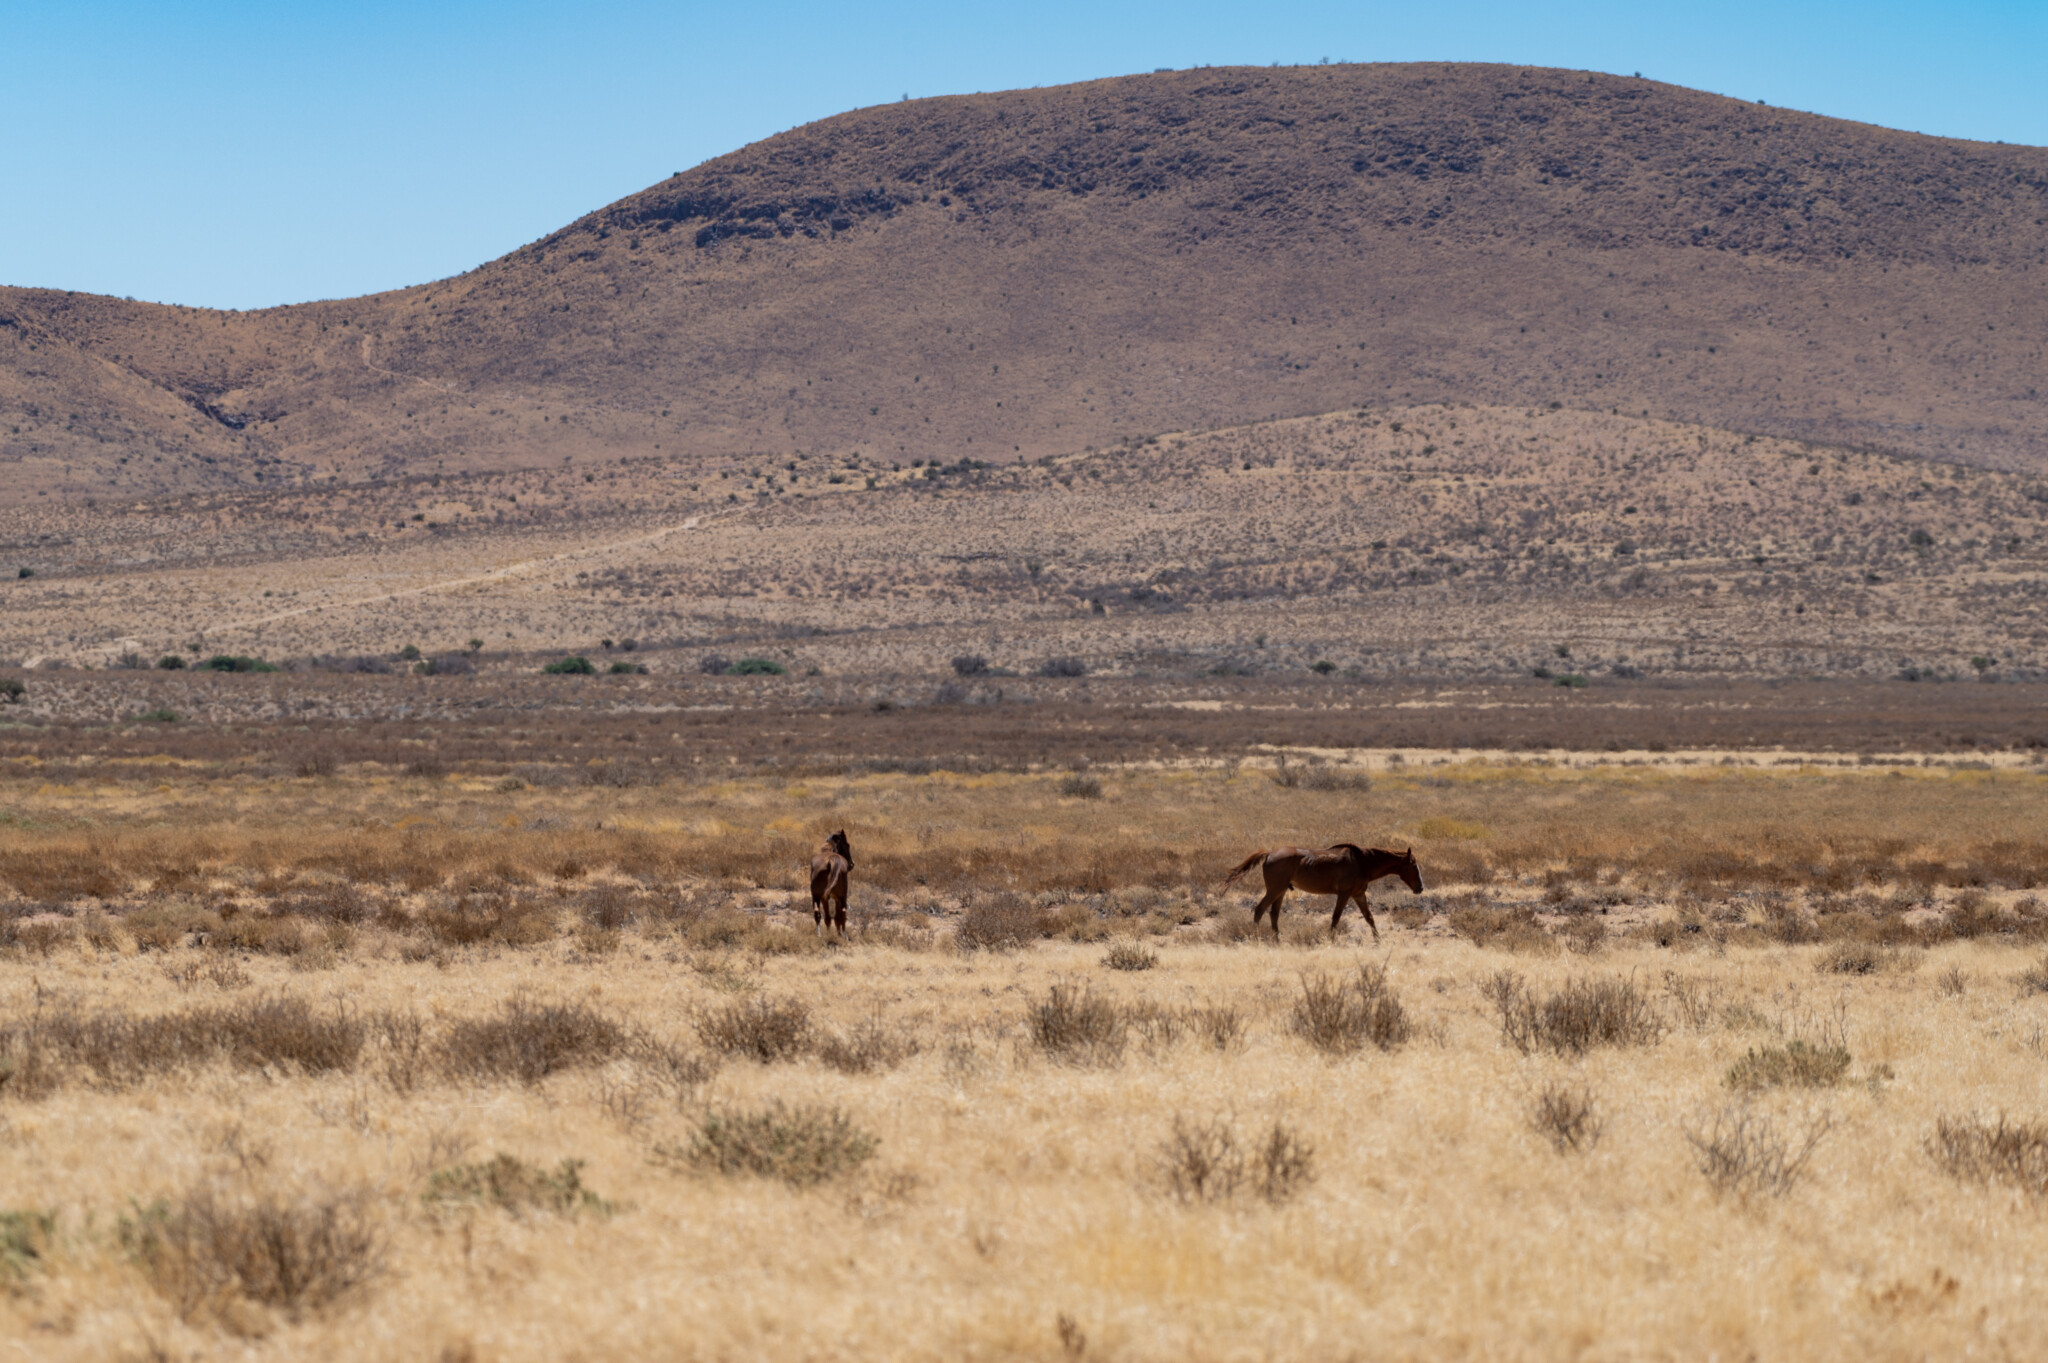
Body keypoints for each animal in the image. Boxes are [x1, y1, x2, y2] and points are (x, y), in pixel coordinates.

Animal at [1212, 839, 1425, 933]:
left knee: (1273, 914)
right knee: (1259, 909)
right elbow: (1335, 918)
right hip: (1275, 889)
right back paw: (1256, 937)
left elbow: (1369, 918)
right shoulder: (1344, 894)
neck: (1362, 861)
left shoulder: (1358, 894)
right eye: (1413, 864)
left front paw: (1378, 941)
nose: (1420, 888)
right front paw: (1330, 940)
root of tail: (1269, 853)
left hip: (1281, 891)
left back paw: (1277, 941)